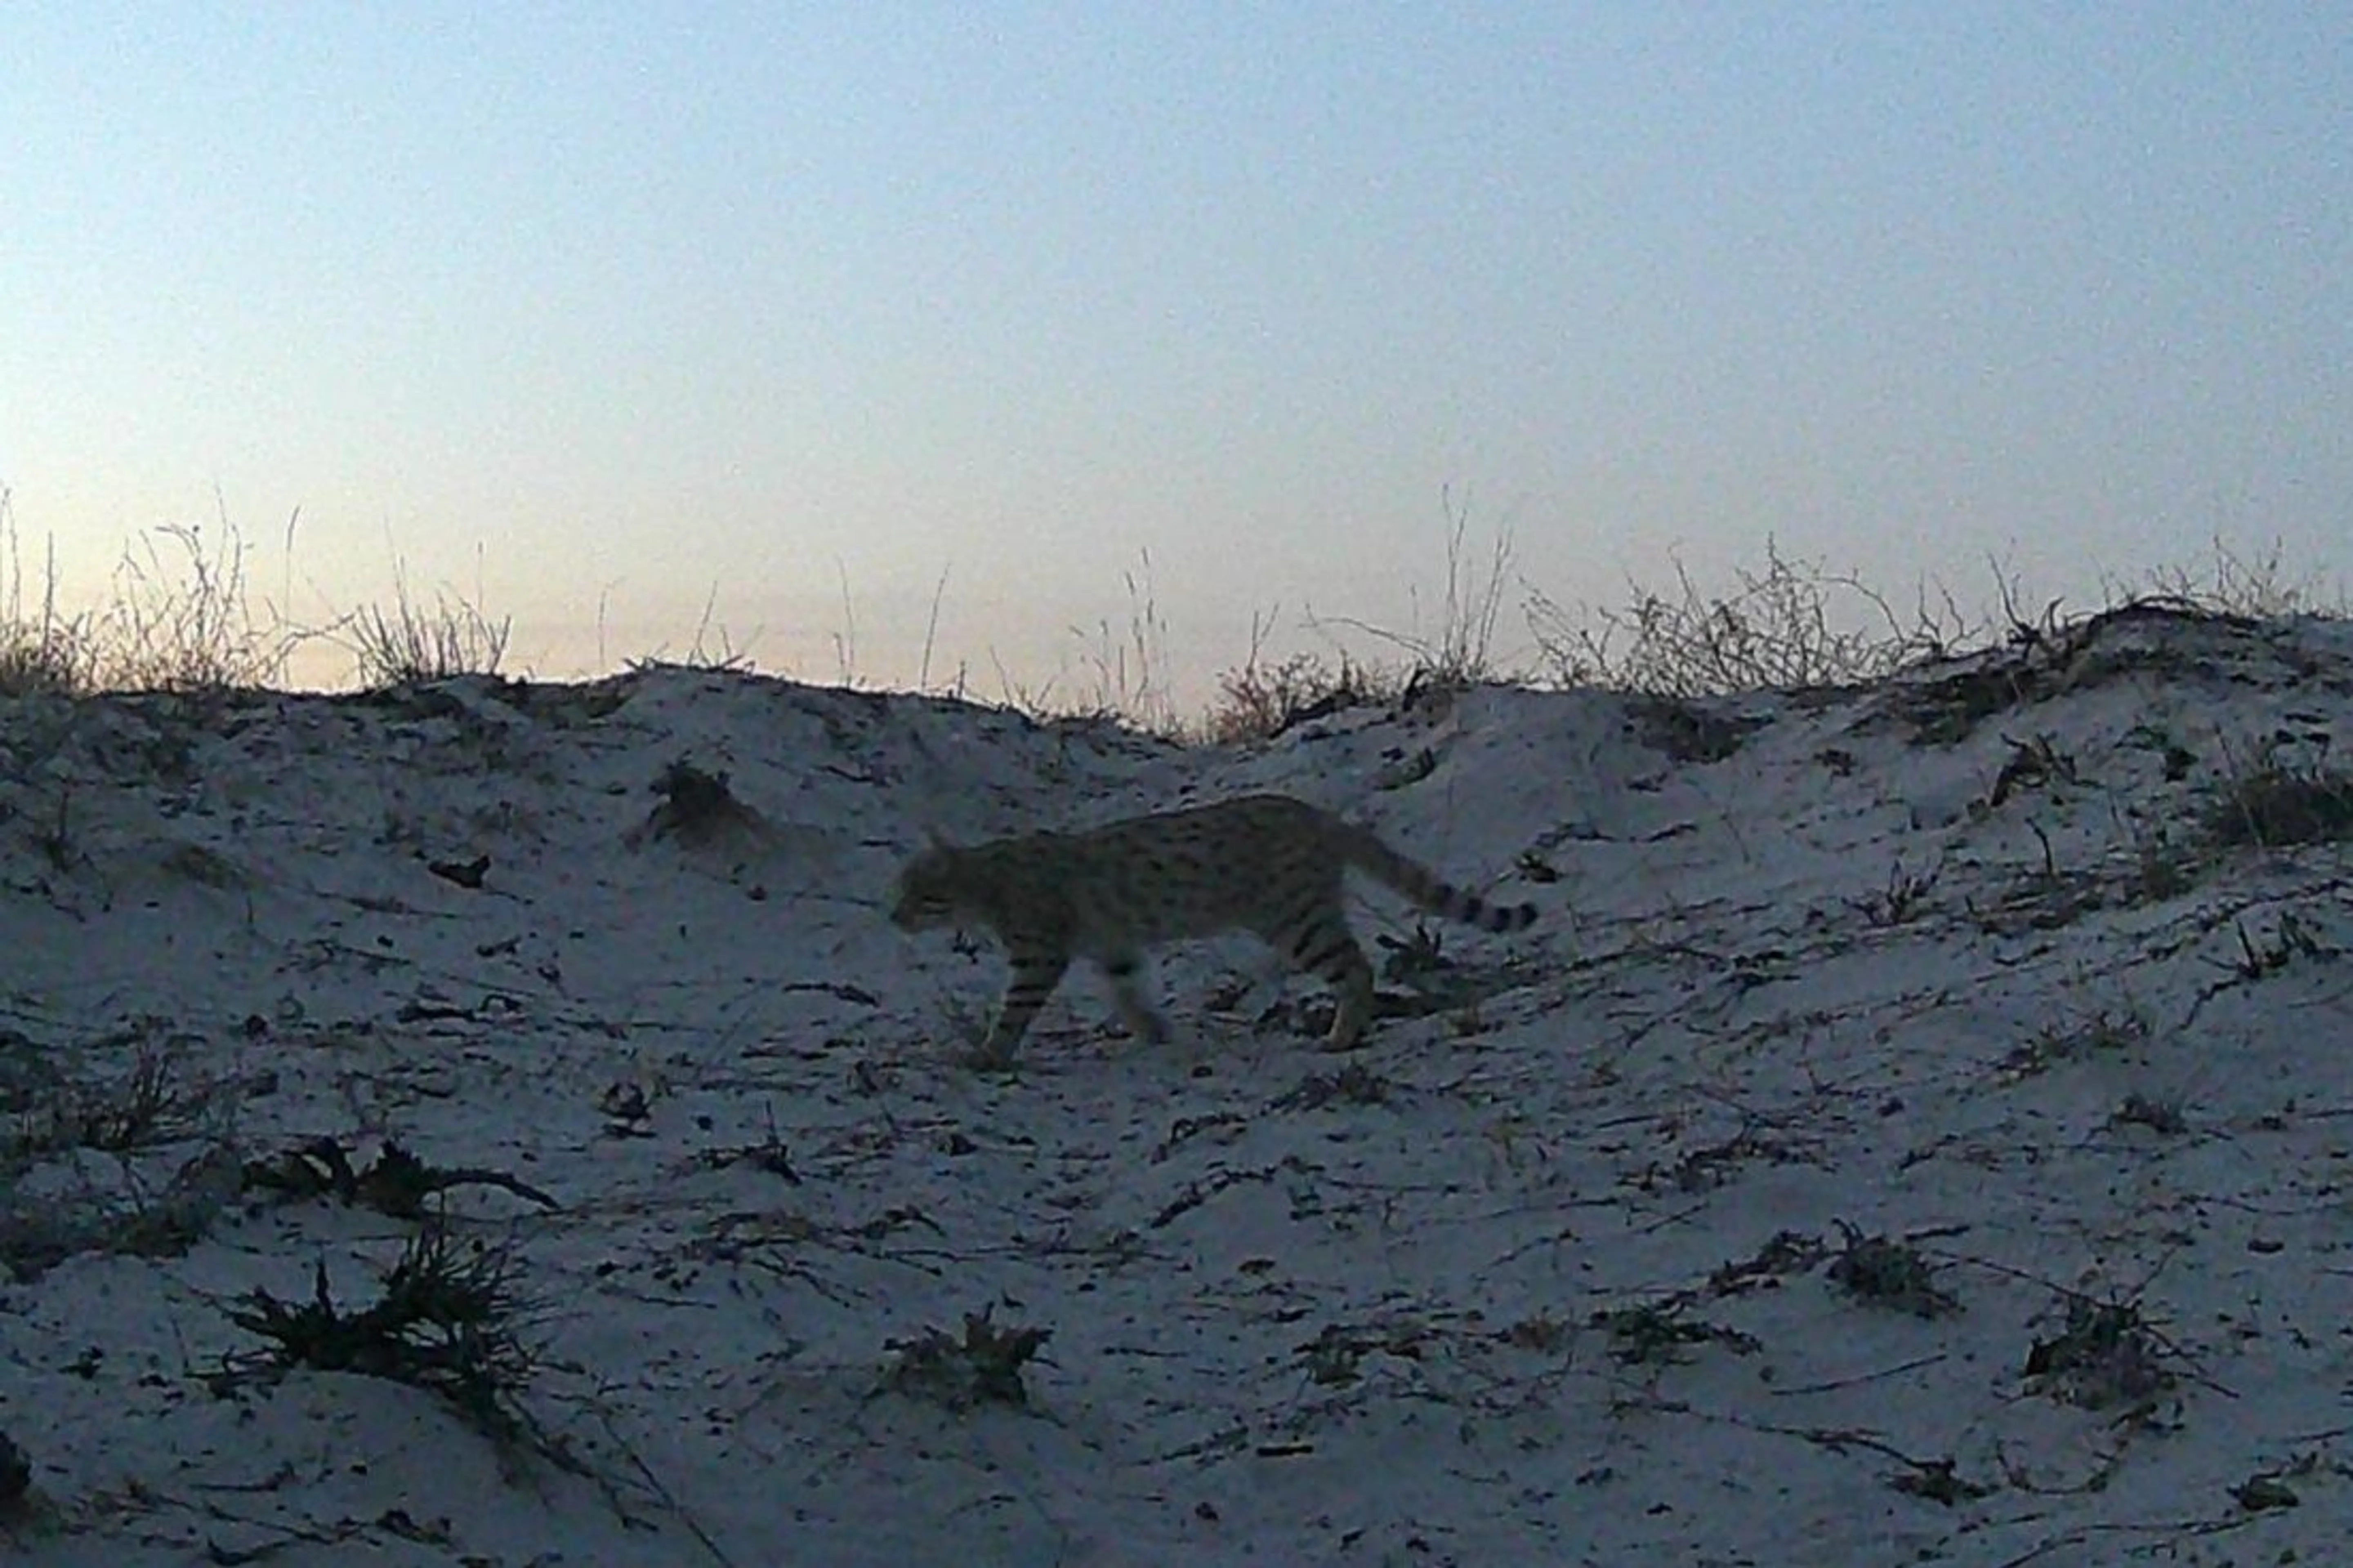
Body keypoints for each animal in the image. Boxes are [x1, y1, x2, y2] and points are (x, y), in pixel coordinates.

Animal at [889, 795, 1534, 1064]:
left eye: (919, 896)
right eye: (899, 891)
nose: (893, 917)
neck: (989, 880)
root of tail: (1318, 813)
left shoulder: (1039, 953)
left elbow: (1013, 1011)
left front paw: (987, 1054)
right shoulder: (1113, 947)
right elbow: (1130, 993)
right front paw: (1154, 1032)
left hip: (1294, 918)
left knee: (1357, 968)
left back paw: (1340, 1035)